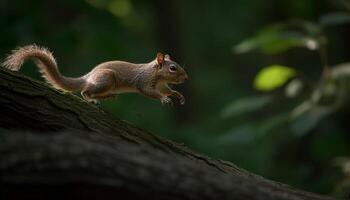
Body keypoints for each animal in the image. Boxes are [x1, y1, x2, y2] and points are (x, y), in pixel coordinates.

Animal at [1, 44, 189, 105]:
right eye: (173, 68)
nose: (186, 78)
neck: (156, 73)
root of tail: (87, 77)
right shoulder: (144, 81)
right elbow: (149, 92)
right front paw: (164, 99)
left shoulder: (162, 85)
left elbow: (168, 90)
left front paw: (177, 96)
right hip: (106, 79)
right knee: (85, 92)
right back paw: (92, 99)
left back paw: (108, 97)